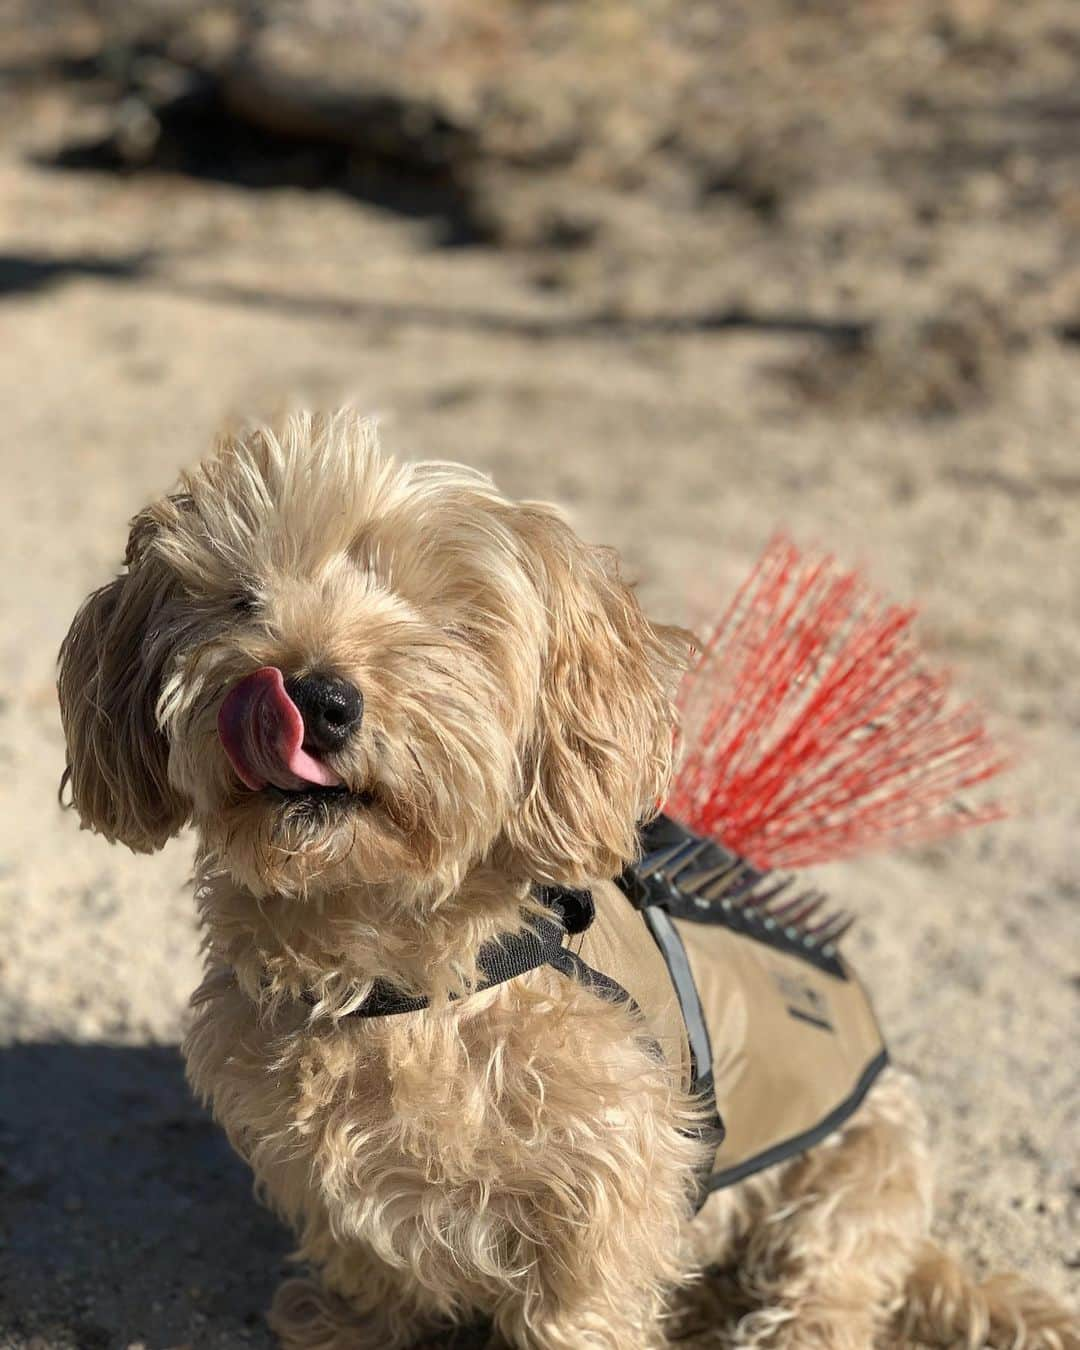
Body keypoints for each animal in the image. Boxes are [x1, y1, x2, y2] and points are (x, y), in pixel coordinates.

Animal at [59, 413, 1080, 1350]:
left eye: (443, 618)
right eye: (241, 598)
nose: (312, 694)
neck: (398, 973)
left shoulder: (613, 1185)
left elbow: (579, 1306)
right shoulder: (322, 1170)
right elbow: (368, 1265)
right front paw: (346, 1322)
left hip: (857, 1173)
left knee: (824, 1296)